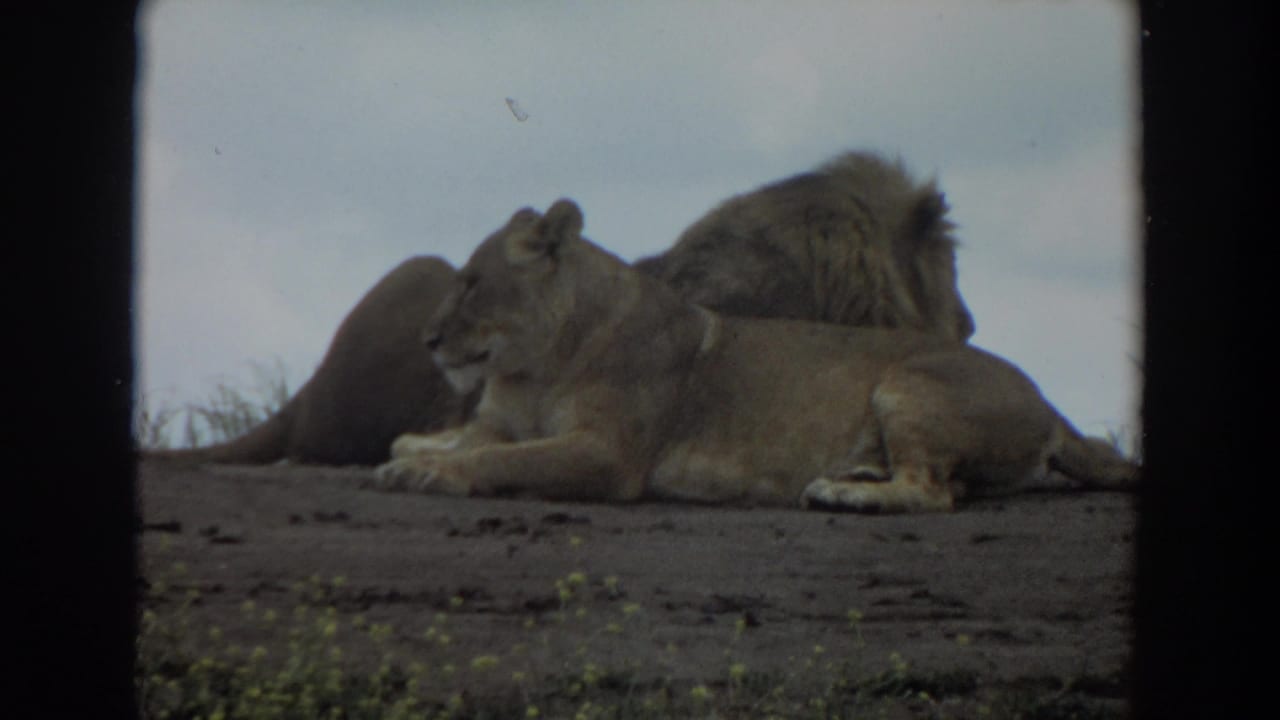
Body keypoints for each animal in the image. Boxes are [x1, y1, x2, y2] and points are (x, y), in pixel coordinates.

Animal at [372, 200, 1134, 513]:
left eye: (472, 282)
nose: (427, 340)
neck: (534, 366)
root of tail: (1050, 405)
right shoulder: (499, 420)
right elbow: (457, 439)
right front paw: (411, 455)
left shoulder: (609, 453)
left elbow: (503, 460)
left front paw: (429, 472)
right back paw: (857, 472)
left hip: (907, 383)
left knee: (934, 493)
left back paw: (846, 494)